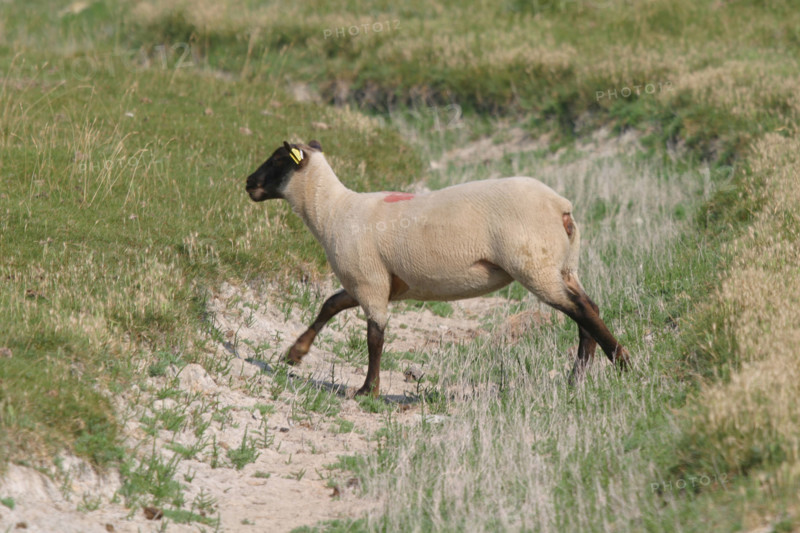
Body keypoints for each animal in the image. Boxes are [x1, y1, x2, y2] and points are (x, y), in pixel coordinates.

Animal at [245, 140, 630, 397]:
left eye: (278, 158)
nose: (249, 183)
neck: (331, 211)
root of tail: (560, 205)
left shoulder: (369, 281)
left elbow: (374, 337)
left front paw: (367, 390)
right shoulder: (371, 282)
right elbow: (330, 304)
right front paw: (295, 353)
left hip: (535, 265)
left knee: (581, 310)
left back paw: (621, 362)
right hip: (564, 267)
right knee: (587, 311)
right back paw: (577, 379)